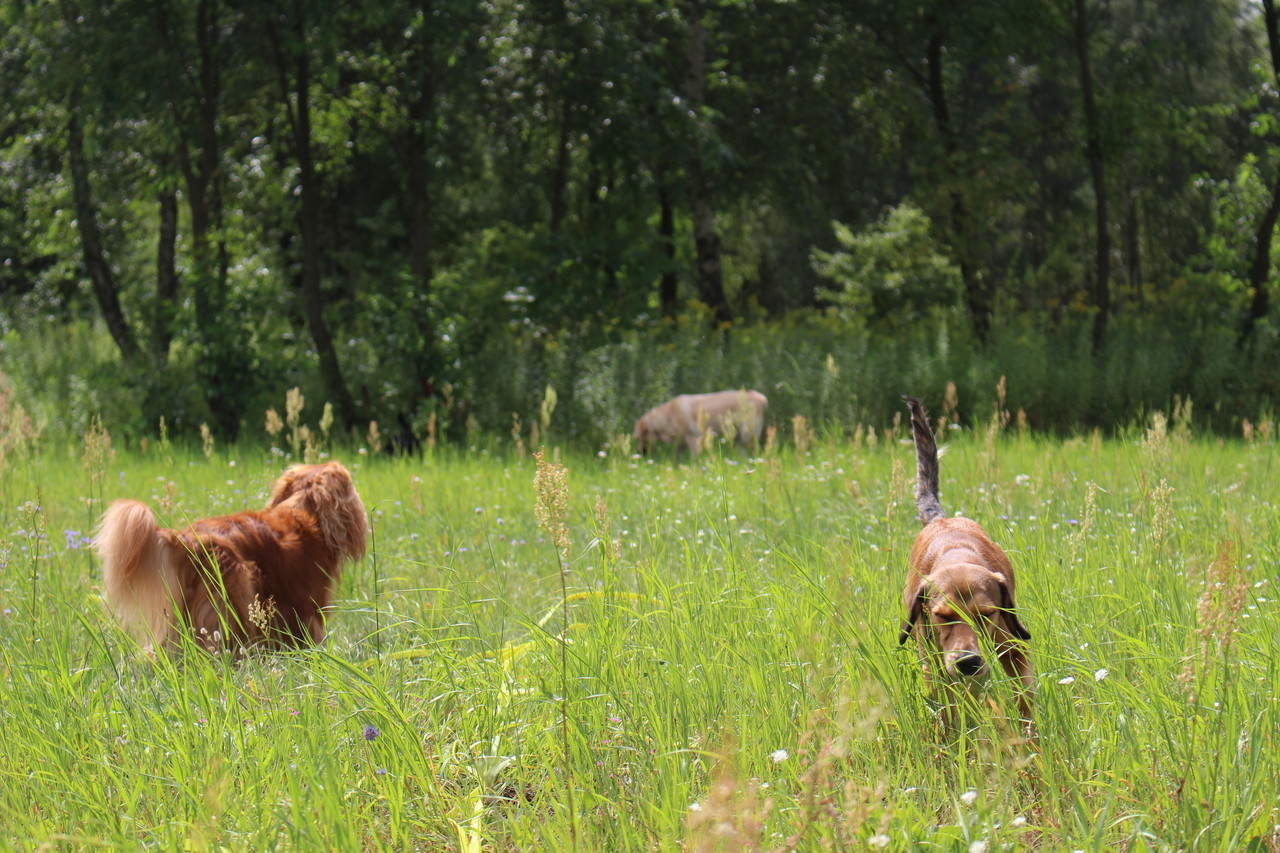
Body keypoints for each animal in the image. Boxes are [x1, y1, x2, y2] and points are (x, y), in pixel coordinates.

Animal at [634, 390, 768, 455]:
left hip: (747, 434)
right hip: (737, 438)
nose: (639, 452)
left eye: (639, 438)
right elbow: (676, 457)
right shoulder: (681, 442)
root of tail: (761, 398)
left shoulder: (693, 439)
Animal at [899, 396, 1033, 724]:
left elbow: (1024, 702)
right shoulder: (934, 661)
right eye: (943, 616)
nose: (968, 662)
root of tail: (940, 518)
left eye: (985, 614)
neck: (956, 552)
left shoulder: (1012, 646)